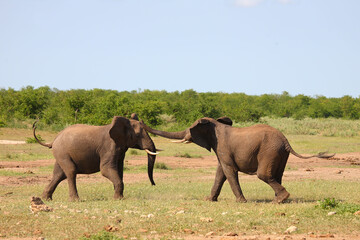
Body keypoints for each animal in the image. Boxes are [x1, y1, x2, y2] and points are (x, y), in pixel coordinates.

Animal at [141, 117, 334, 203]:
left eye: (190, 130)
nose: (140, 120)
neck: (215, 124)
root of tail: (286, 141)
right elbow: (220, 173)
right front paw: (208, 200)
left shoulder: (222, 147)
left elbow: (229, 171)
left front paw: (241, 202)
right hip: (279, 153)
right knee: (277, 175)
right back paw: (280, 199)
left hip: (269, 151)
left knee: (264, 175)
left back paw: (279, 200)